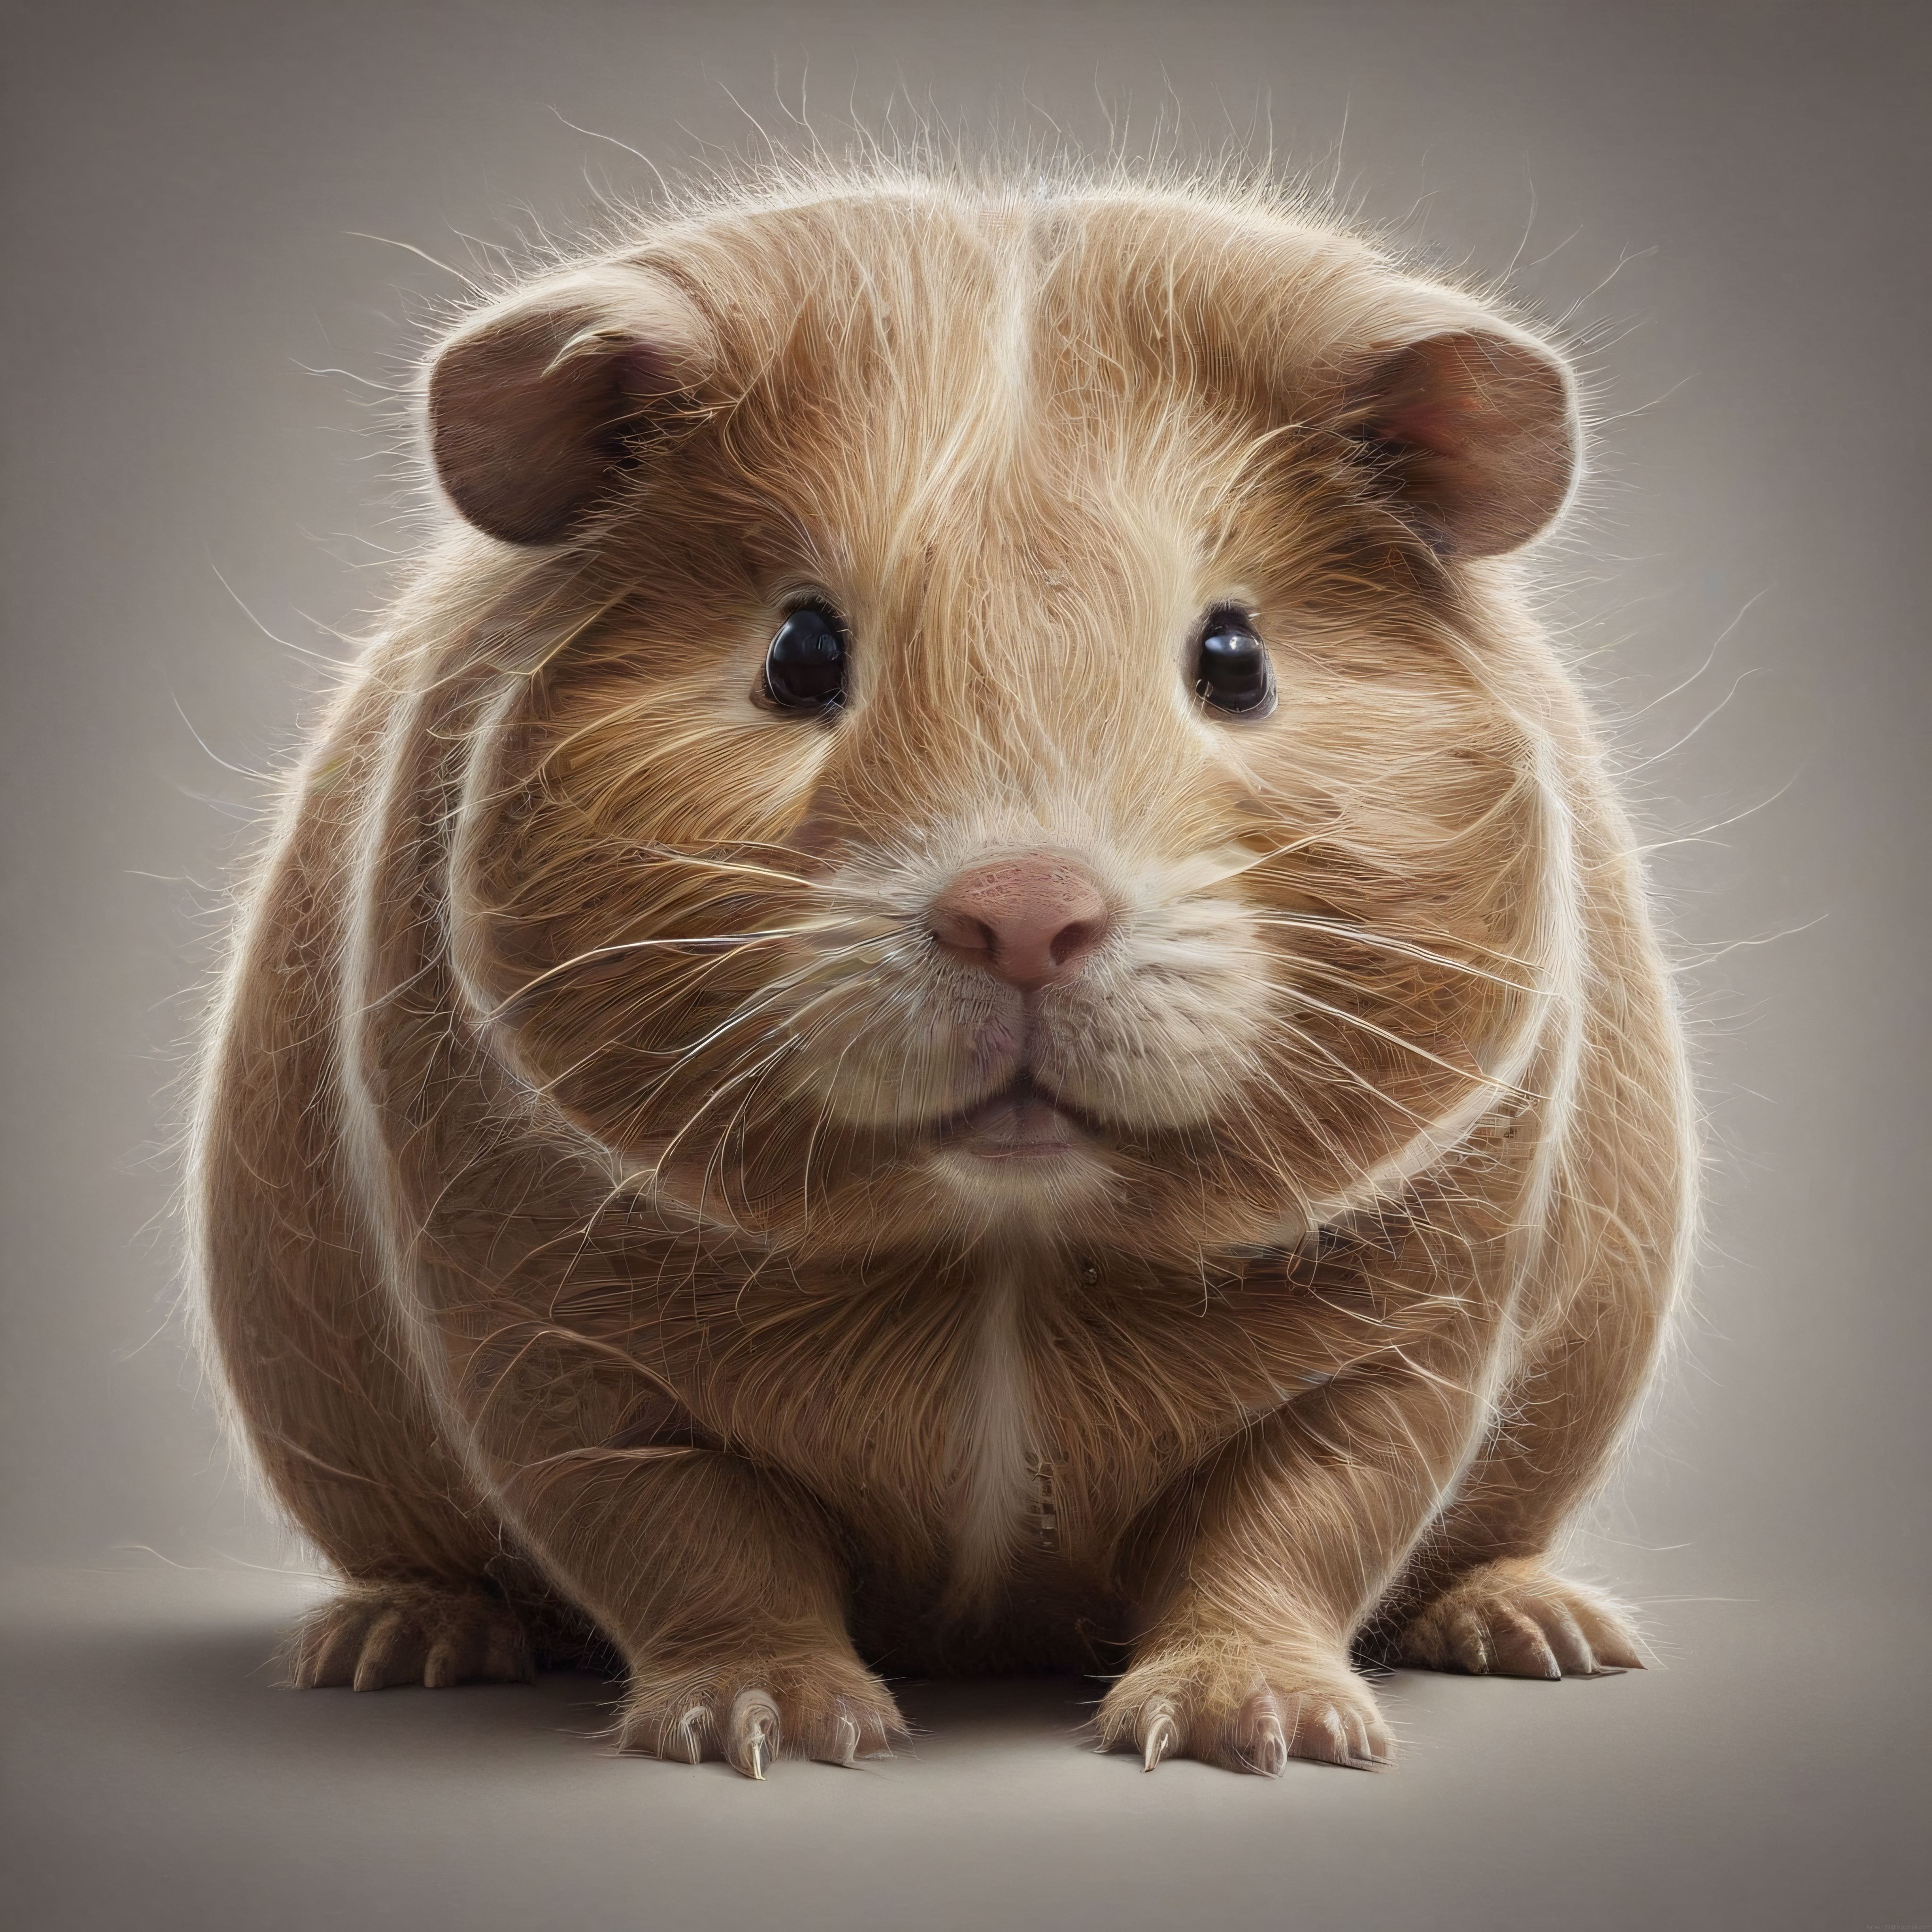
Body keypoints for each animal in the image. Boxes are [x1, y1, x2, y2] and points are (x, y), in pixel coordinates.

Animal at [190, 163, 1695, 1778]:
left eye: (1234, 657)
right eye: (799, 651)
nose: (1022, 913)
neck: (1002, 1250)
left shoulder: (1421, 1325)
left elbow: (1300, 1520)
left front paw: (1256, 1734)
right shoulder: (535, 1332)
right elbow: (682, 1537)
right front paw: (776, 1730)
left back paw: (1557, 1637)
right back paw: (386, 1653)